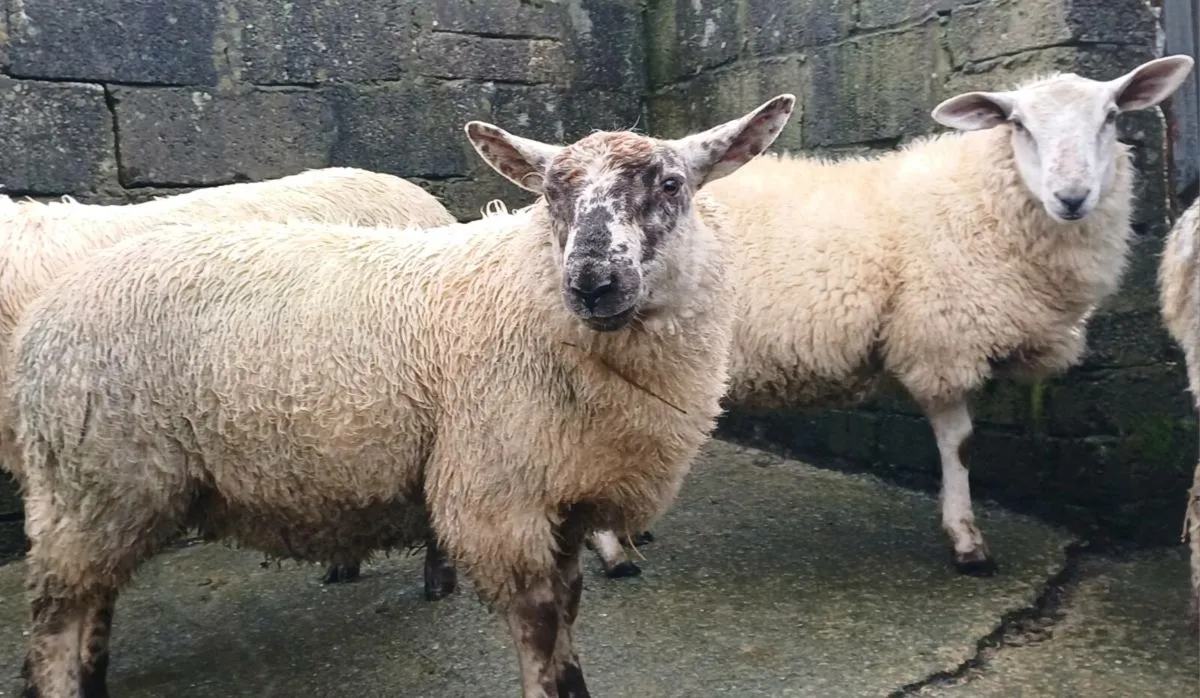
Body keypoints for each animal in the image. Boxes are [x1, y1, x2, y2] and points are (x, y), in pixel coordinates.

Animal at [575, 55, 1196, 578]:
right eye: (1018, 124)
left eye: (1111, 116)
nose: (1072, 196)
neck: (982, 202)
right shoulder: (939, 338)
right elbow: (960, 443)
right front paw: (967, 541)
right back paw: (611, 550)